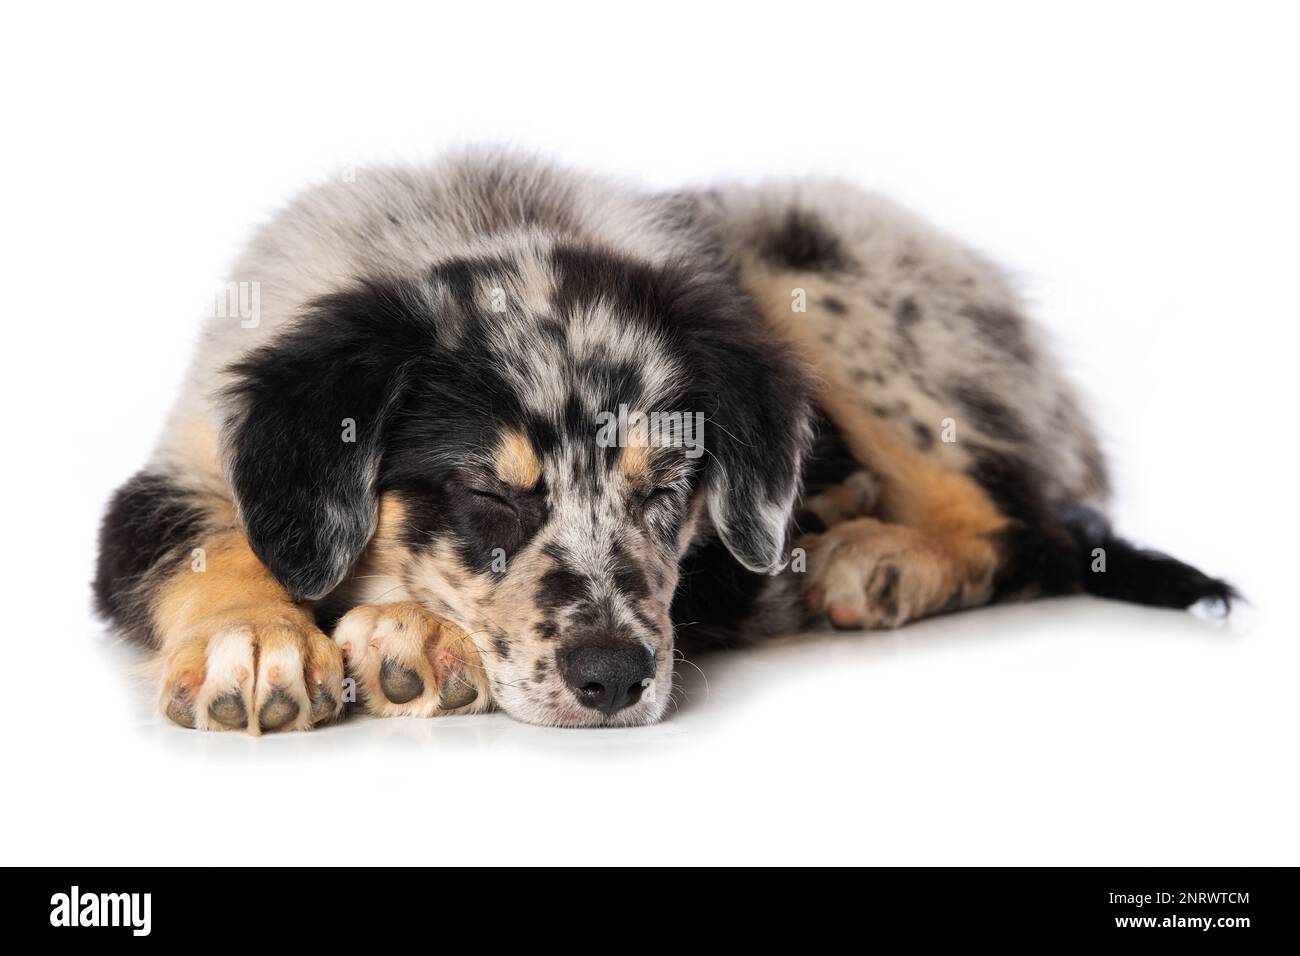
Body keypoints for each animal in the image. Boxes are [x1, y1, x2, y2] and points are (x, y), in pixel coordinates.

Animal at [89, 151, 1227, 733]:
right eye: (488, 494)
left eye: (668, 488)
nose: (613, 679)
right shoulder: (187, 455)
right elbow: (208, 542)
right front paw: (257, 642)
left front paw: (406, 634)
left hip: (808, 263)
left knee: (1020, 519)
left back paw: (883, 558)